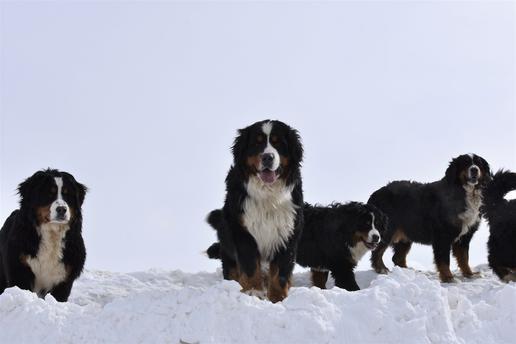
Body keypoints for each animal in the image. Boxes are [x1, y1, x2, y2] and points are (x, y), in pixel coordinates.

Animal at [366, 154, 492, 282]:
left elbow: (464, 258)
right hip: (387, 231)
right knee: (377, 252)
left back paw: (408, 273)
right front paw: (448, 277)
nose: (474, 169)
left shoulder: (465, 236)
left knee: (397, 257)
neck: (464, 192)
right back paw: (382, 269)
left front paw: (470, 274)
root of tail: (375, 194)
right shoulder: (442, 235)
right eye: (465, 163)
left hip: (406, 235)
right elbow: (444, 260)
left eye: (478, 163)